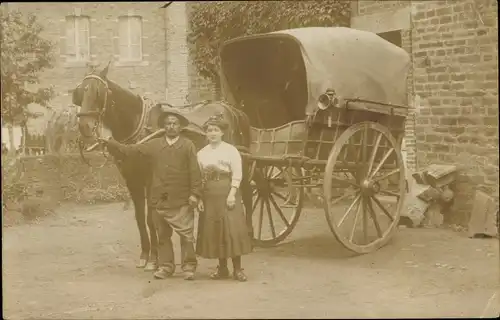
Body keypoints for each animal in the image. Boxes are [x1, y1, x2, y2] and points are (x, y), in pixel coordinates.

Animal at [72, 62, 252, 270]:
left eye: (99, 92)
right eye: (79, 93)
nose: (84, 126)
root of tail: (232, 109)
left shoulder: (151, 181)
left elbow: (151, 219)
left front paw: (154, 258)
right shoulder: (132, 180)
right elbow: (140, 218)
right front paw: (144, 255)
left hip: (244, 164)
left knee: (247, 197)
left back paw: (250, 236)